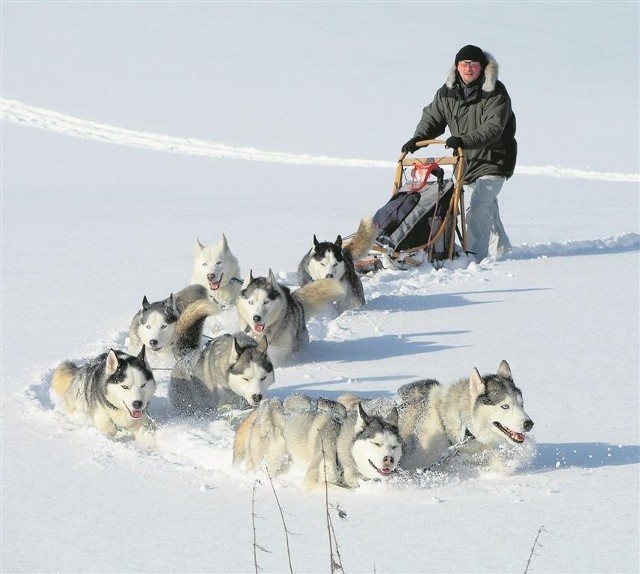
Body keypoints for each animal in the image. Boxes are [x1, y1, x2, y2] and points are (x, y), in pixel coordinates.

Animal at [232, 396, 402, 490]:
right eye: (376, 443)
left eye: (394, 446)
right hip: (271, 455)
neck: (338, 444)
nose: (389, 459)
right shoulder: (312, 482)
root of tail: (271, 401)